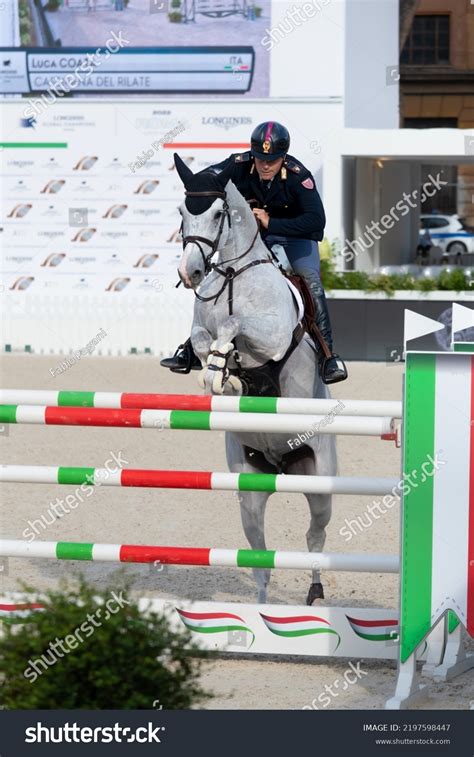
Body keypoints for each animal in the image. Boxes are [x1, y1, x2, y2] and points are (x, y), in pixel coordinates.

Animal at [174, 154, 336, 604]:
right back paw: (263, 612)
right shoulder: (201, 329)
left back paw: (314, 594)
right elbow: (205, 341)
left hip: (319, 481)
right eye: (182, 213)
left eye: (217, 213)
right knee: (260, 555)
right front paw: (220, 374)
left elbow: (235, 326)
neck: (233, 274)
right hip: (250, 487)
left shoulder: (273, 337)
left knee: (315, 536)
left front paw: (222, 371)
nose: (190, 272)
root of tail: (281, 465)